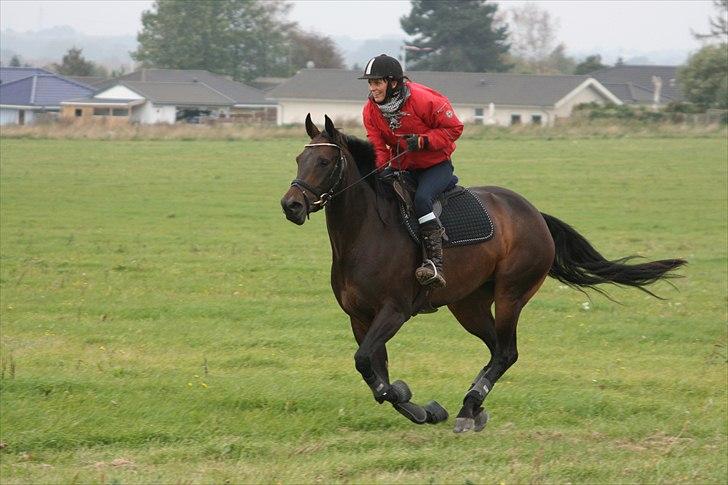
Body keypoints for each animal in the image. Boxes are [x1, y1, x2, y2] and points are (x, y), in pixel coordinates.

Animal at [280, 115, 688, 432]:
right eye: (300, 158)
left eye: (324, 162)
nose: (291, 205)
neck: (365, 233)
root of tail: (535, 214)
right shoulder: (360, 317)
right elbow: (375, 373)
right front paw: (422, 408)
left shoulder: (394, 311)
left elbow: (367, 363)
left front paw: (421, 406)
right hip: (469, 305)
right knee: (495, 350)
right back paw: (473, 407)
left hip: (511, 294)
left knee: (507, 352)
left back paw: (469, 404)